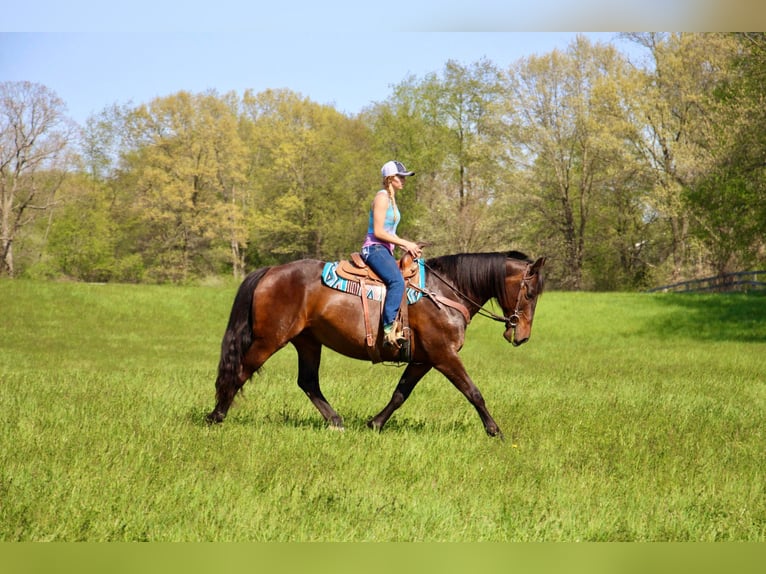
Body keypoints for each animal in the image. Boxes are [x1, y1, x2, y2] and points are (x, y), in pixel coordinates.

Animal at [206, 251, 544, 436]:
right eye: (529, 293)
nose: (523, 336)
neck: (445, 292)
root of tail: (270, 272)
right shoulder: (443, 355)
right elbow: (473, 392)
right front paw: (495, 431)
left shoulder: (422, 360)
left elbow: (400, 394)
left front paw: (375, 423)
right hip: (270, 339)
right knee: (239, 372)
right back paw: (216, 416)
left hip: (307, 342)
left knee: (308, 382)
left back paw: (336, 421)